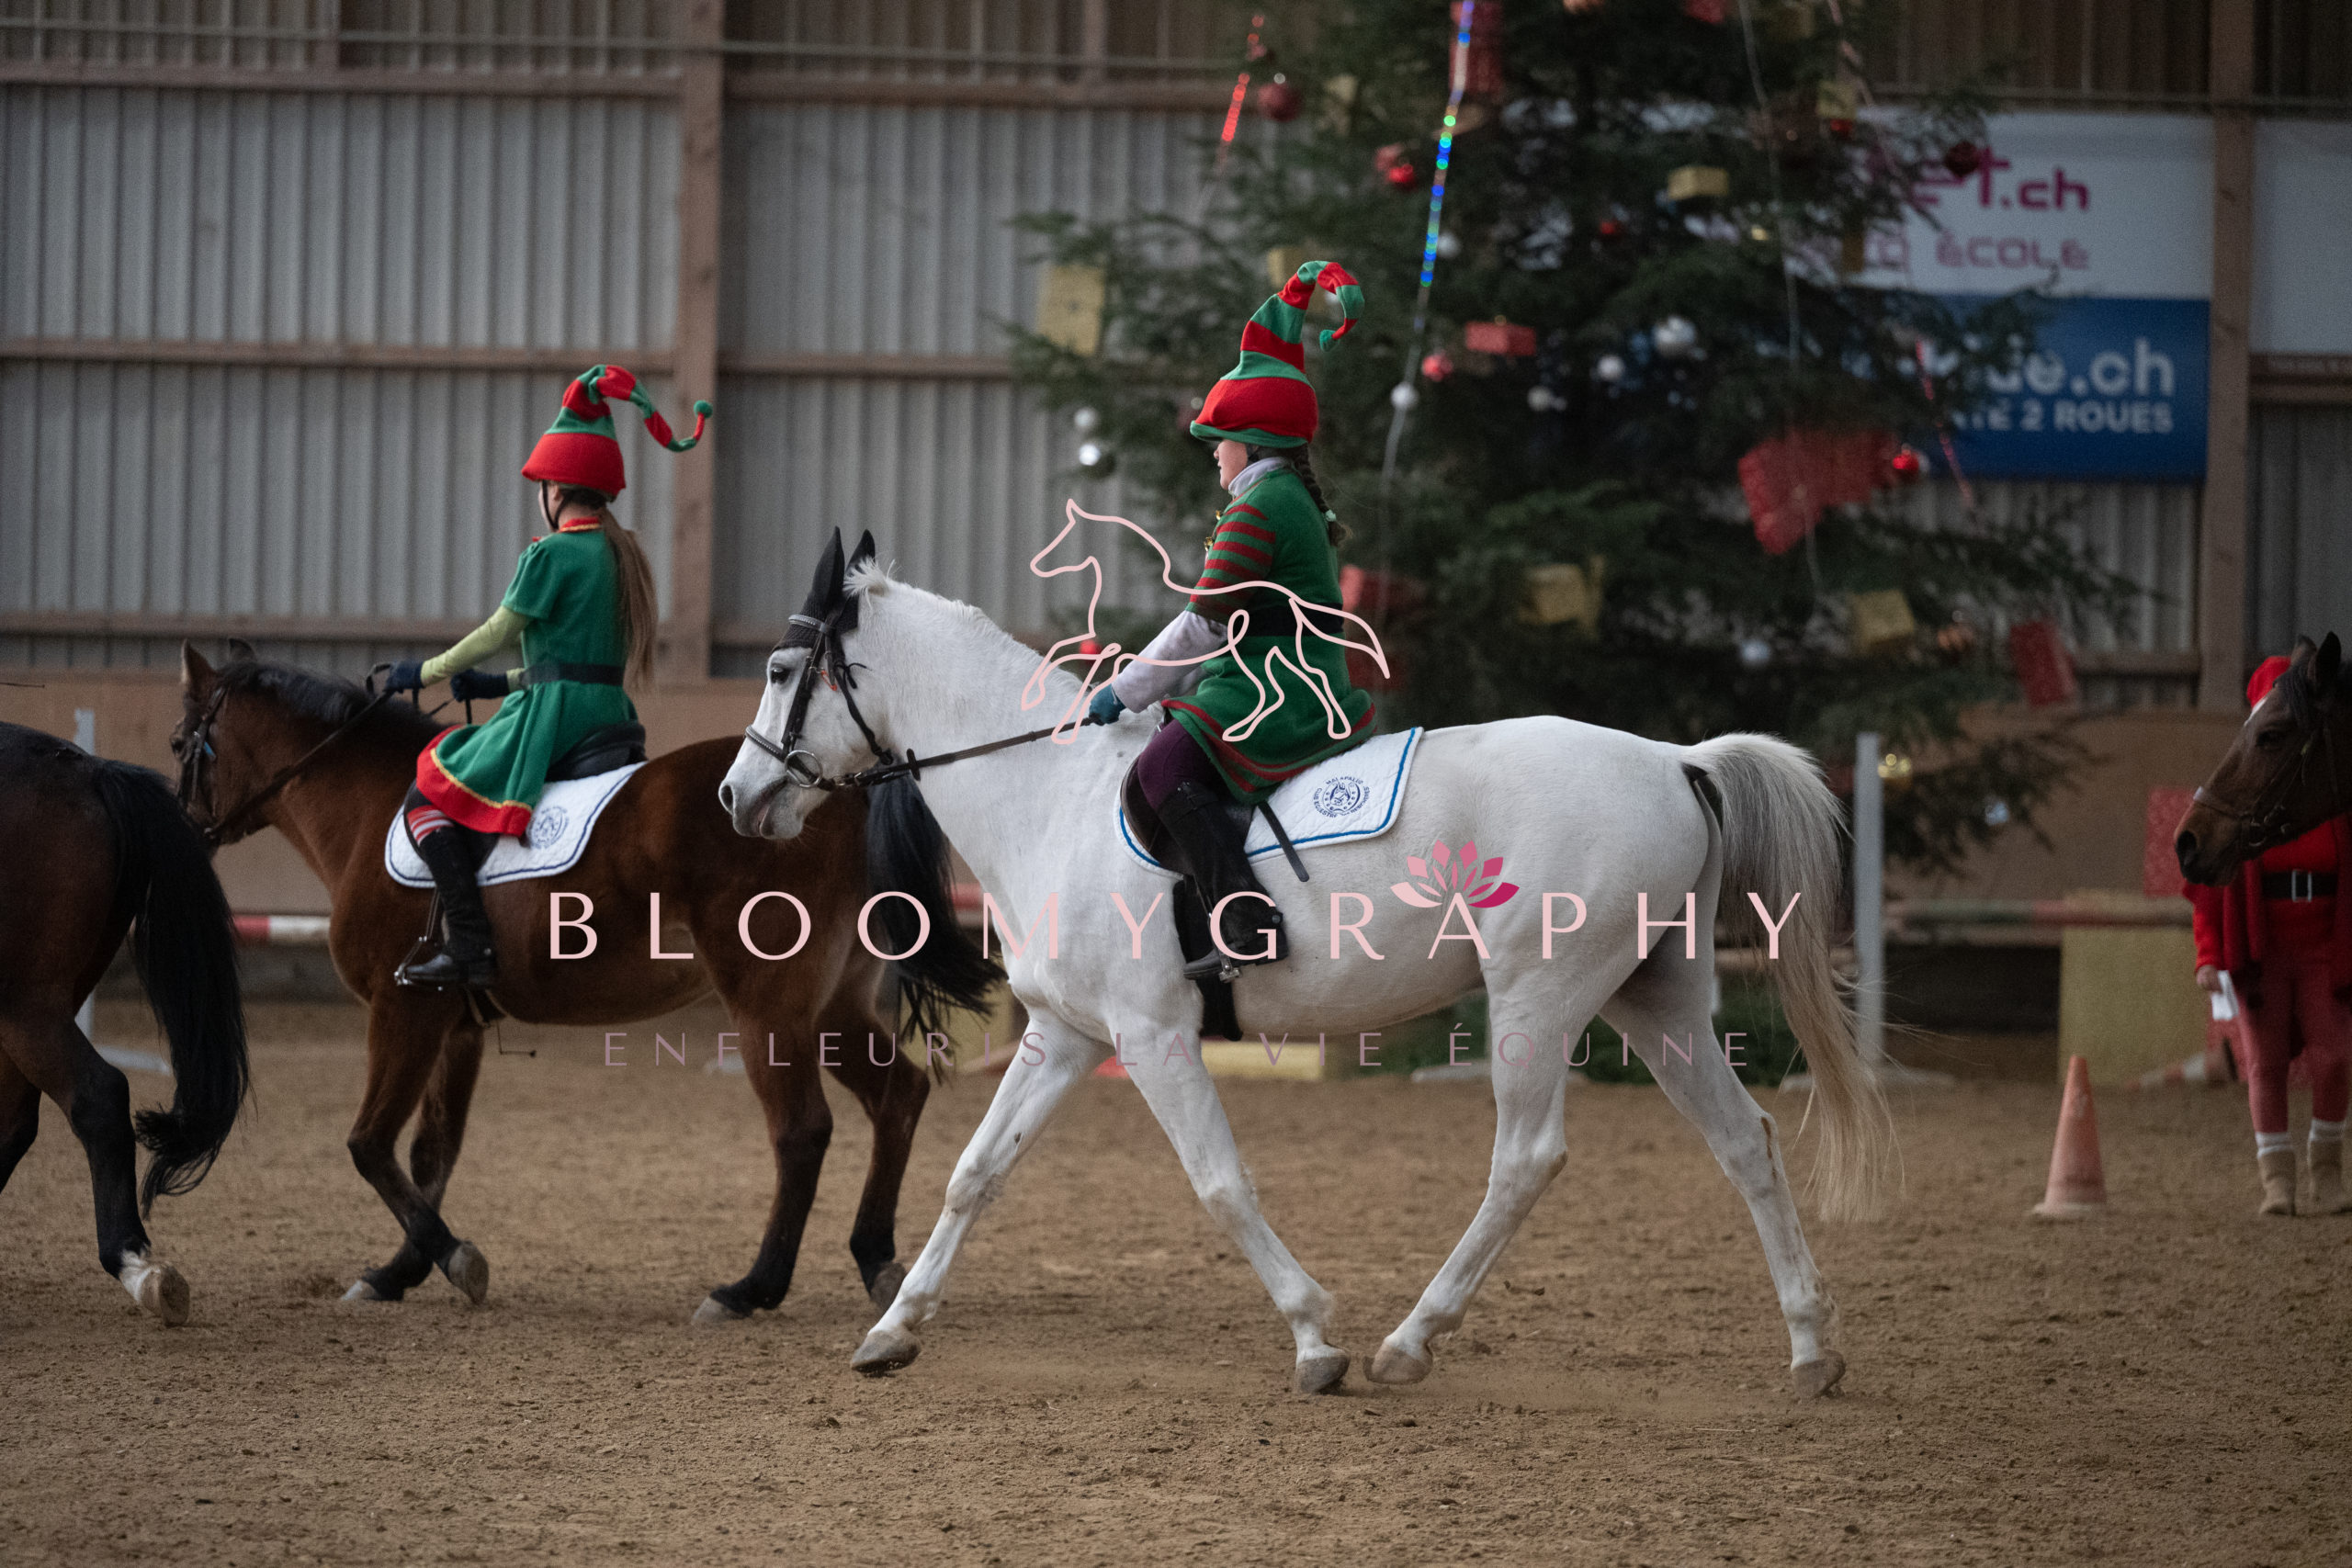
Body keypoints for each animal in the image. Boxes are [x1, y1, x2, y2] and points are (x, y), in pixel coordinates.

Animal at [173, 642, 977, 1321]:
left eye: (182, 744)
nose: (186, 831)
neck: (368, 809)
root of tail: (840, 794)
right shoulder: (454, 1025)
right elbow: (432, 1150)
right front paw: (399, 1270)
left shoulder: (402, 1010)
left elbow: (369, 1143)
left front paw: (453, 1260)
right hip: (833, 1005)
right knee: (898, 1095)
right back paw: (876, 1259)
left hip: (768, 1008)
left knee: (802, 1129)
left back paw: (751, 1287)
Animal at [719, 530, 1890, 1397]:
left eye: (779, 671)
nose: (737, 795)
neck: (1050, 799)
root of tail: (1675, 758)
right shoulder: (1067, 1036)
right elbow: (975, 1174)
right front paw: (893, 1329)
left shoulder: (1151, 1035)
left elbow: (1219, 1181)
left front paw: (1314, 1337)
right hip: (1659, 999)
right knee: (1744, 1141)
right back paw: (1810, 1349)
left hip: (1540, 994)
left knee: (1526, 1158)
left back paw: (1409, 1342)